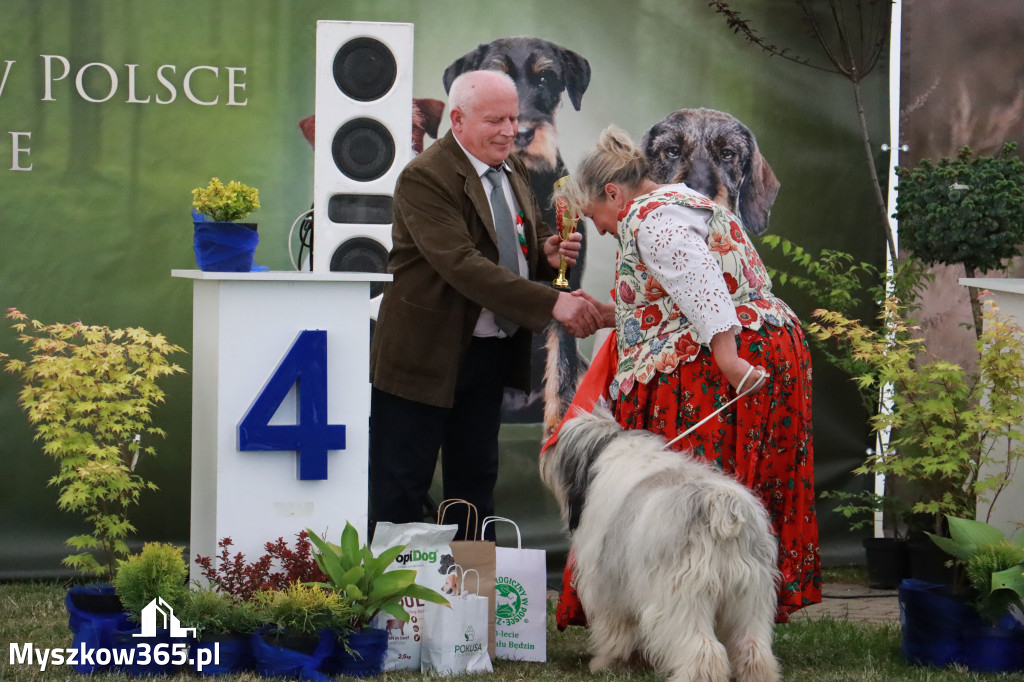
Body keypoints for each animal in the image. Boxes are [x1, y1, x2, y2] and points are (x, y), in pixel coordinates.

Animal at [540, 405, 778, 679]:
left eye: (557, 437)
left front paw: (607, 662)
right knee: (752, 646)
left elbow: (616, 630)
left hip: (681, 600)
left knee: (703, 649)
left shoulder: (608, 585)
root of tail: (719, 505)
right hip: (749, 598)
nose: (544, 450)